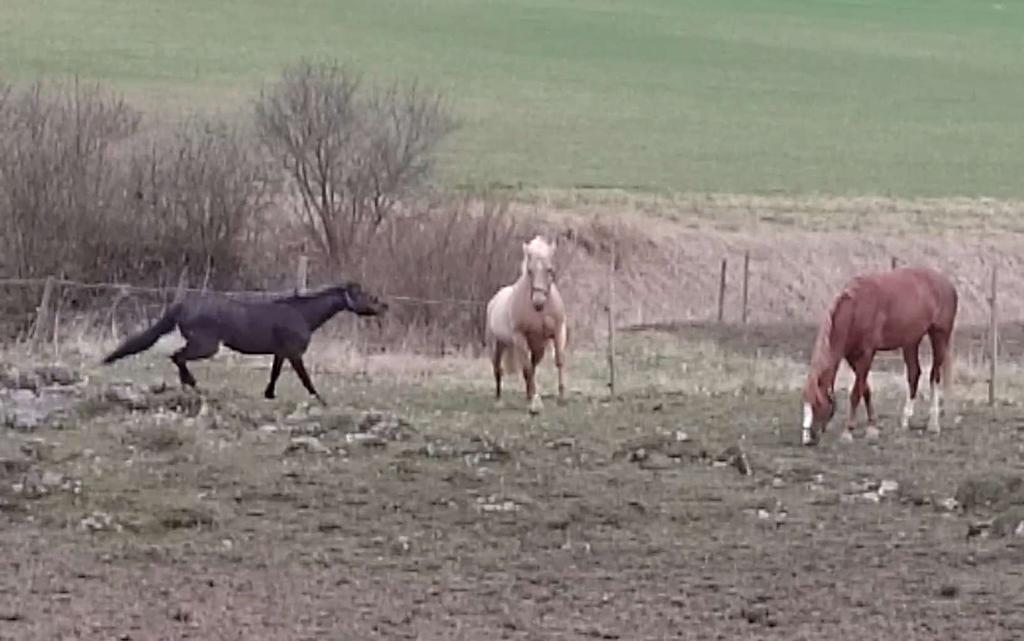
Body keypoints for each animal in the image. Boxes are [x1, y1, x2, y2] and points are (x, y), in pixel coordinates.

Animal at [100, 282, 387, 401]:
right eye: (367, 295)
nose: (384, 305)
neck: (303, 314)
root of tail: (182, 304)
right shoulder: (294, 353)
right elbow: (305, 378)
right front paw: (320, 399)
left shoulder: (280, 353)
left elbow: (274, 374)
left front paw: (269, 394)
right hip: (206, 346)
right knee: (177, 356)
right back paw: (191, 385)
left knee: (177, 358)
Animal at [485, 233, 569, 409]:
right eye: (530, 271)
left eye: (549, 269)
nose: (538, 302)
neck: (540, 312)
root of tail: (494, 300)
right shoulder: (520, 337)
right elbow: (527, 369)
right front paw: (535, 401)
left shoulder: (558, 332)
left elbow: (558, 361)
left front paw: (561, 396)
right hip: (498, 345)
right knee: (499, 369)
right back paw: (500, 398)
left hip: (537, 348)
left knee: (530, 367)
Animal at [798, 264, 958, 444]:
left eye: (818, 403)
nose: (808, 439)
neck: (857, 308)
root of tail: (947, 284)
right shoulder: (851, 356)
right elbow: (865, 389)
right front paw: (872, 427)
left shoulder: (867, 354)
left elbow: (856, 393)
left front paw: (848, 431)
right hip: (911, 341)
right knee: (914, 374)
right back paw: (905, 420)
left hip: (939, 336)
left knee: (934, 376)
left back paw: (933, 424)